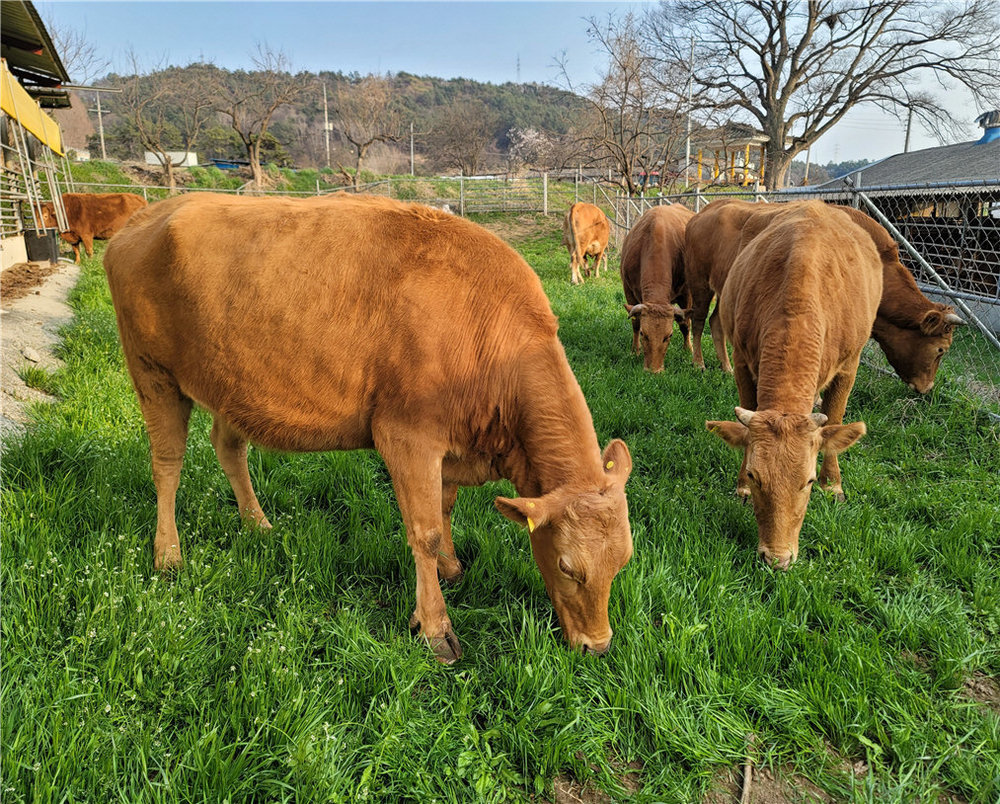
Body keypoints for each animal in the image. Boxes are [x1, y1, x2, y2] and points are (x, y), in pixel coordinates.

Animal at [103, 192, 632, 664]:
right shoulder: (406, 438)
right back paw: (168, 554)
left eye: (624, 561)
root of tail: (146, 217)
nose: (598, 645)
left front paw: (450, 567)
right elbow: (424, 532)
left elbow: (445, 507)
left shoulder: (449, 448)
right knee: (167, 465)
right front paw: (434, 626)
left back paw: (257, 524)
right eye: (566, 566)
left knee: (228, 447)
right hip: (153, 375)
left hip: (231, 386)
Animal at [616, 206, 696, 372]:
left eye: (669, 335)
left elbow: (685, 324)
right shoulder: (628, 291)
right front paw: (635, 351)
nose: (654, 371)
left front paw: (688, 350)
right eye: (643, 334)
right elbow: (635, 322)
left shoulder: (686, 294)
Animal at [708, 204, 880, 568]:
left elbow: (836, 419)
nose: (777, 558)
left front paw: (833, 484)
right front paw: (741, 487)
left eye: (809, 480)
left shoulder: (850, 364)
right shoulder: (742, 360)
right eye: (755, 476)